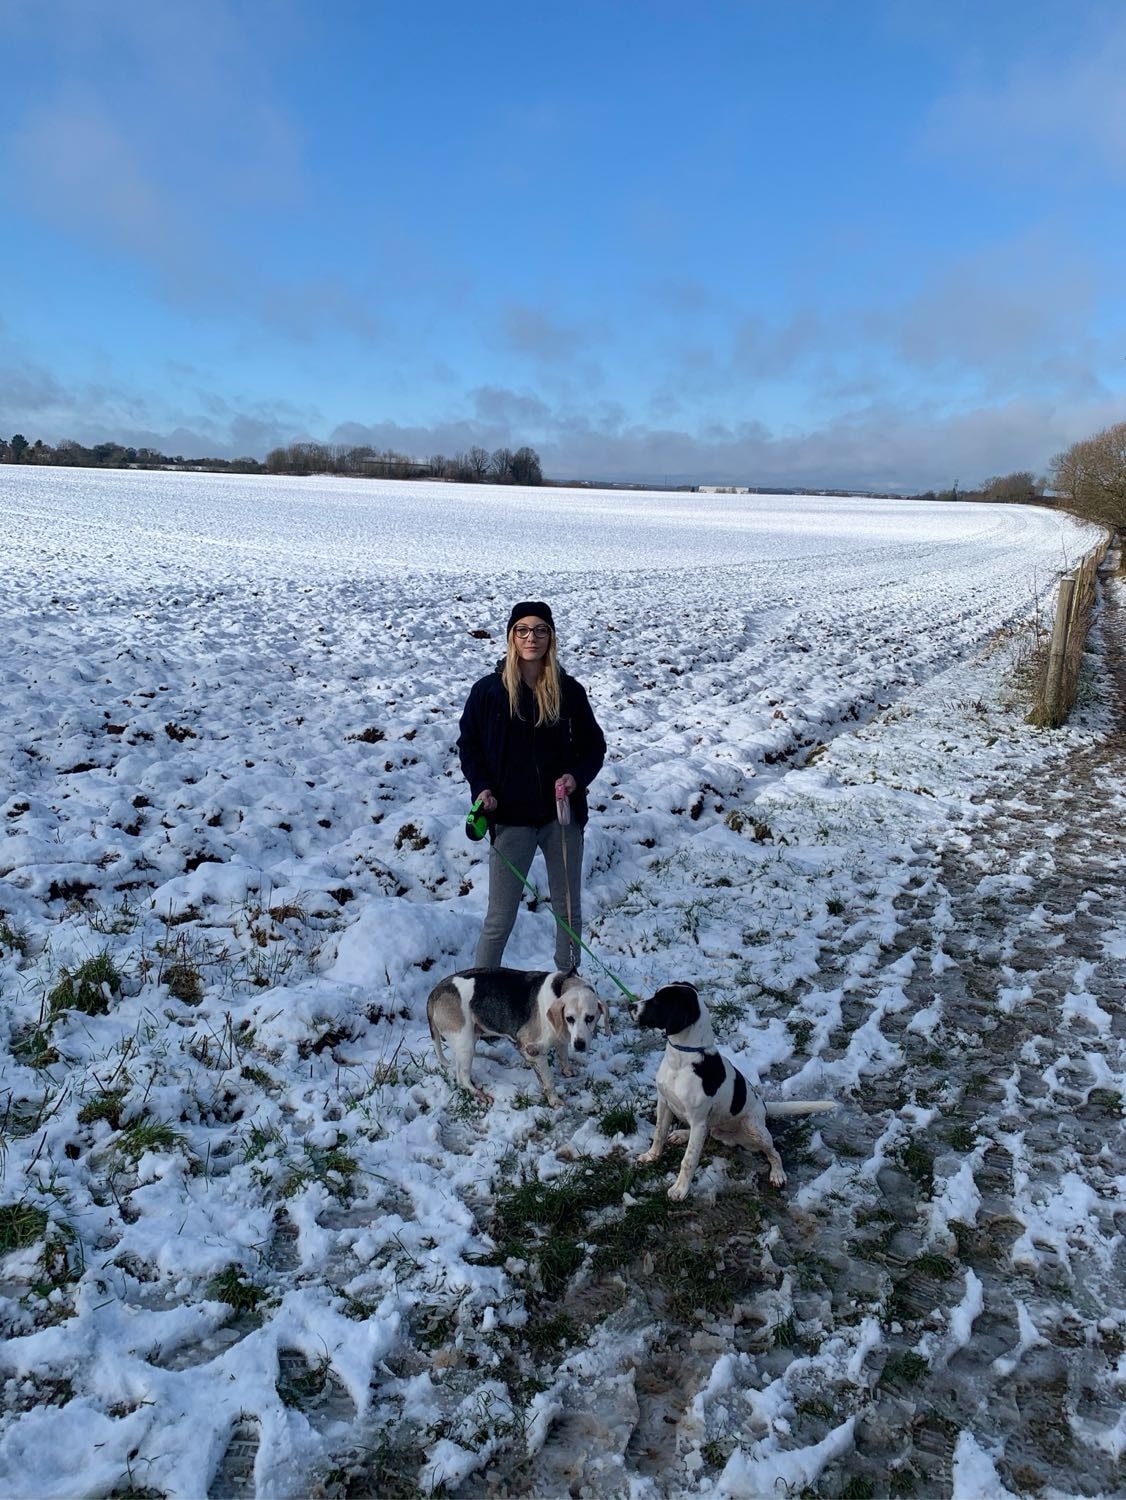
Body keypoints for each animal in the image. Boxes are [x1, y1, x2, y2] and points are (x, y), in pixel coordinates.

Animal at [426, 967, 610, 1106]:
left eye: (590, 1018)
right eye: (569, 1018)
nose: (579, 1045)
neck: (561, 988)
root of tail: (435, 991)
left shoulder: (561, 1039)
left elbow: (562, 1053)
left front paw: (567, 1069)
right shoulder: (531, 1048)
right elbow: (548, 1079)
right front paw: (554, 1100)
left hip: (470, 1038)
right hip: (465, 1042)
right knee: (462, 1079)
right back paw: (478, 1093)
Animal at [633, 982, 836, 1200]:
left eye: (658, 1002)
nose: (630, 1006)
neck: (681, 1060)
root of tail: (764, 1106)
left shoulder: (698, 1120)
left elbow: (689, 1159)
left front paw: (680, 1189)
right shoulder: (665, 1103)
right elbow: (659, 1133)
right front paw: (652, 1156)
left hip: (754, 1128)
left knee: (773, 1152)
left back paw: (777, 1173)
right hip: (713, 1124)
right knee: (708, 1133)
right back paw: (681, 1134)